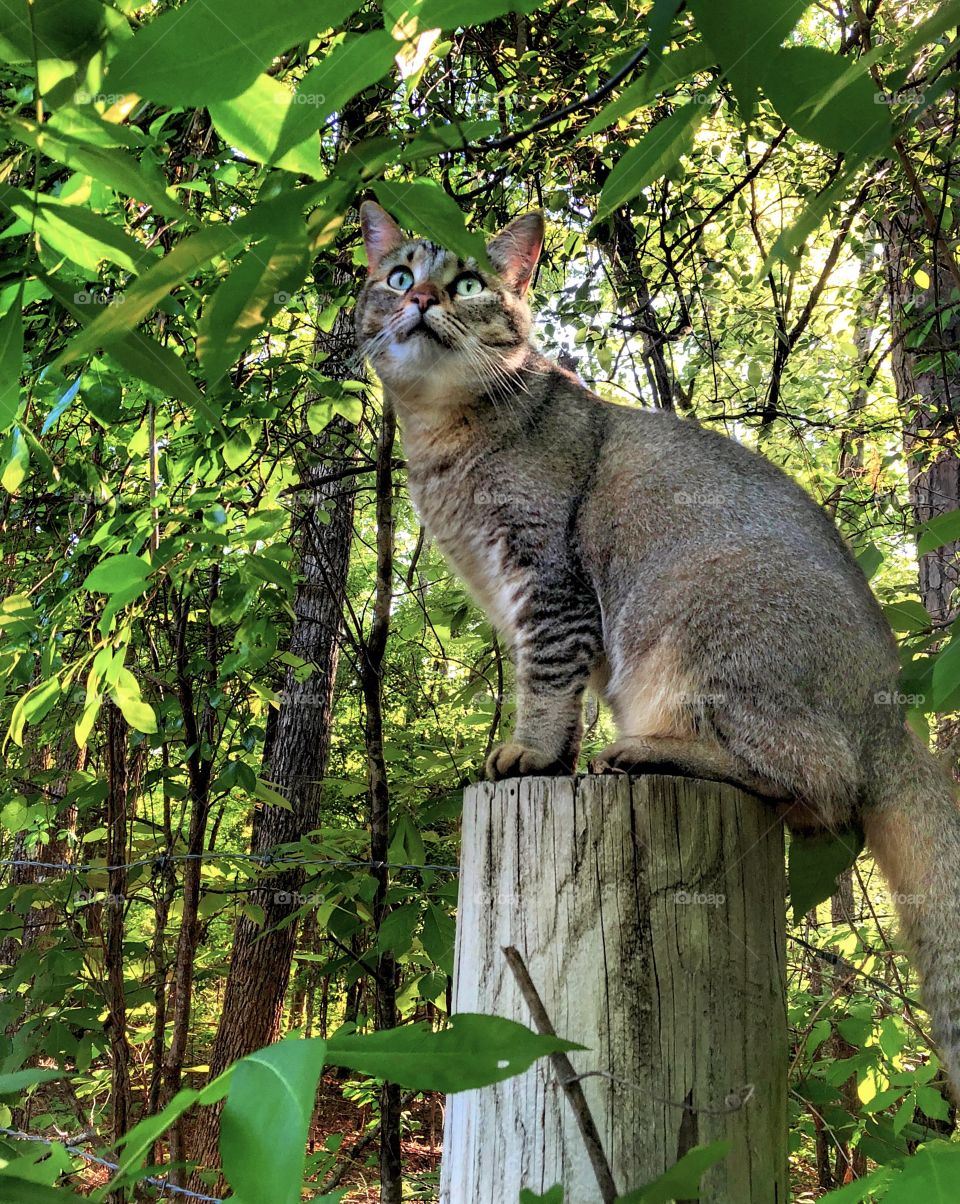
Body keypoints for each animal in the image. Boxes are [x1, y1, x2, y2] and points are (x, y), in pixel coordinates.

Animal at [354, 199, 960, 1102]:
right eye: (398, 276)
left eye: (465, 283)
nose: (423, 298)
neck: (443, 437)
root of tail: (890, 719)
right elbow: (558, 692)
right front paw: (552, 756)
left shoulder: (550, 582)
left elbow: (545, 683)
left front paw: (532, 754)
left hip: (705, 624)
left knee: (818, 782)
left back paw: (656, 751)